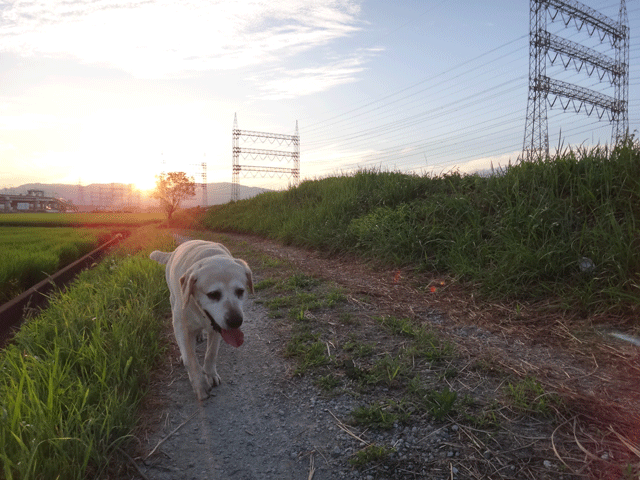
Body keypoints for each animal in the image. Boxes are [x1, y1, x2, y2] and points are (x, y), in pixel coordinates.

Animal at [151, 240, 254, 402]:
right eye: (213, 294)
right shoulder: (181, 327)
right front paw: (200, 385)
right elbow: (190, 359)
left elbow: (211, 353)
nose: (235, 321)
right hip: (173, 300)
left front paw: (210, 374)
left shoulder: (216, 328)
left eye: (240, 291)